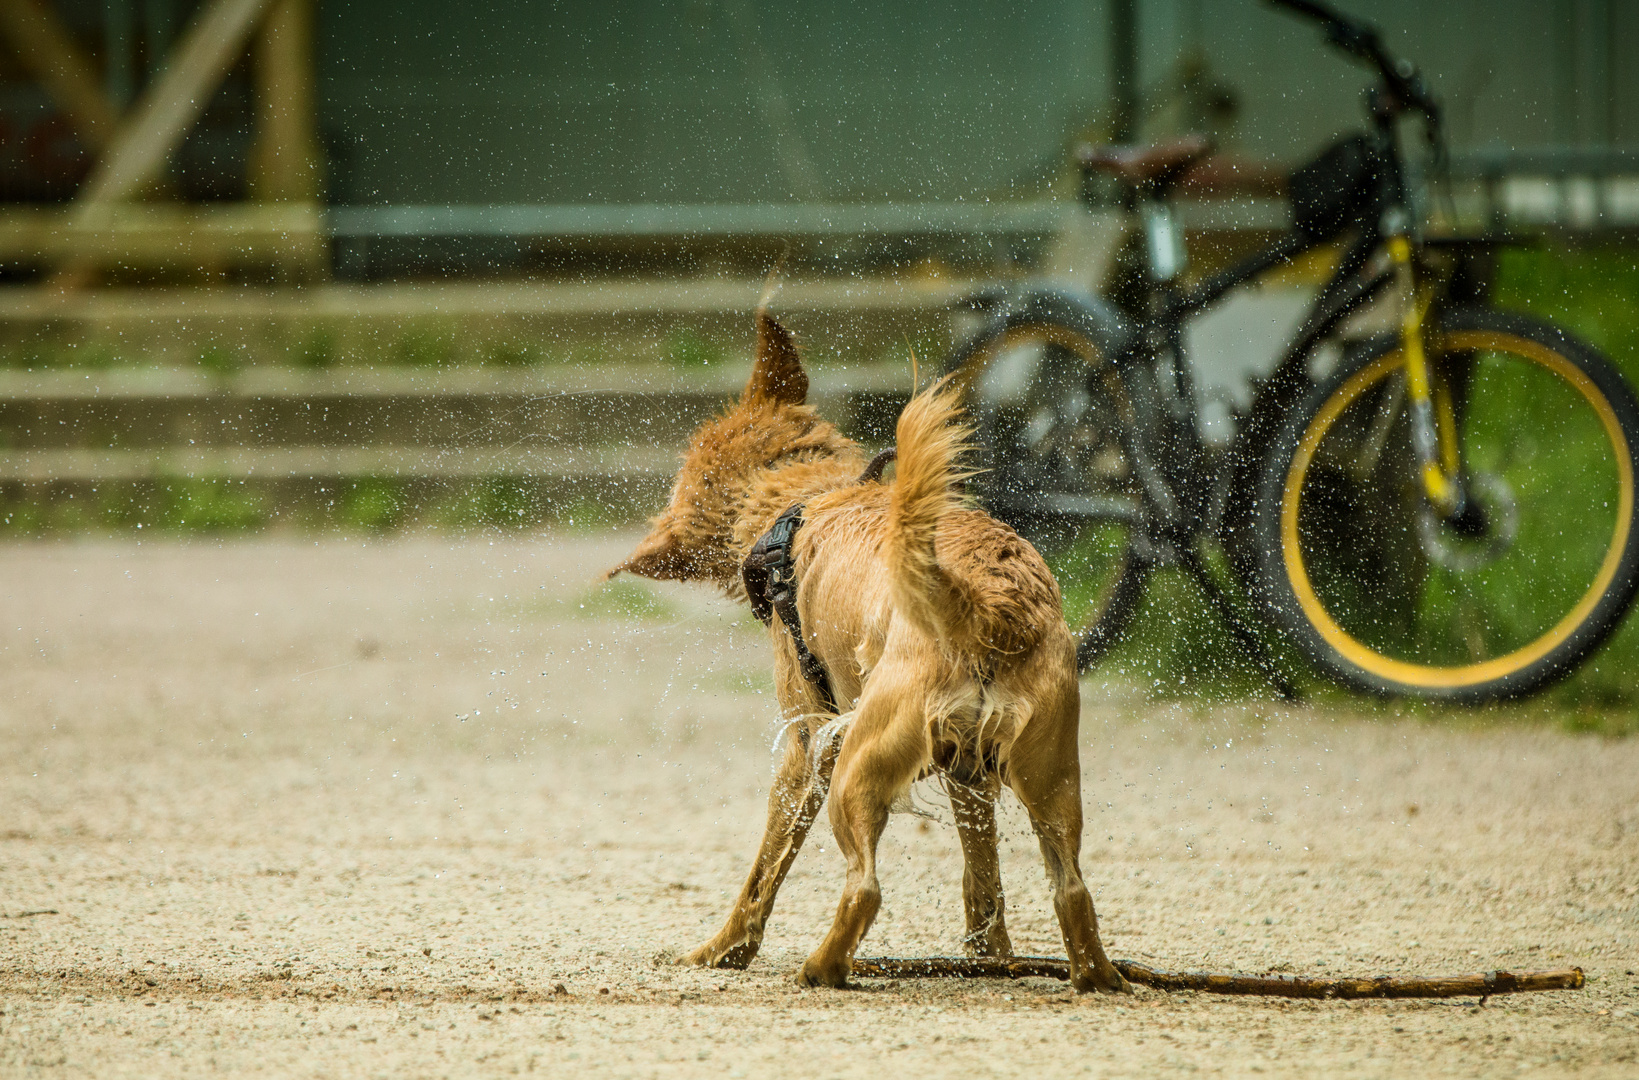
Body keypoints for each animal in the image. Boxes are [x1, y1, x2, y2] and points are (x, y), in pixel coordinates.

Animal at [609, 313, 1134, 996]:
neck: (806, 504)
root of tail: (986, 601)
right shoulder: (969, 775)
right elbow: (983, 876)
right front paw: (990, 955)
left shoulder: (806, 747)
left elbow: (761, 876)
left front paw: (722, 951)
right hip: (1051, 779)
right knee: (1071, 889)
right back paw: (1093, 974)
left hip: (858, 768)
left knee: (865, 888)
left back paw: (823, 966)